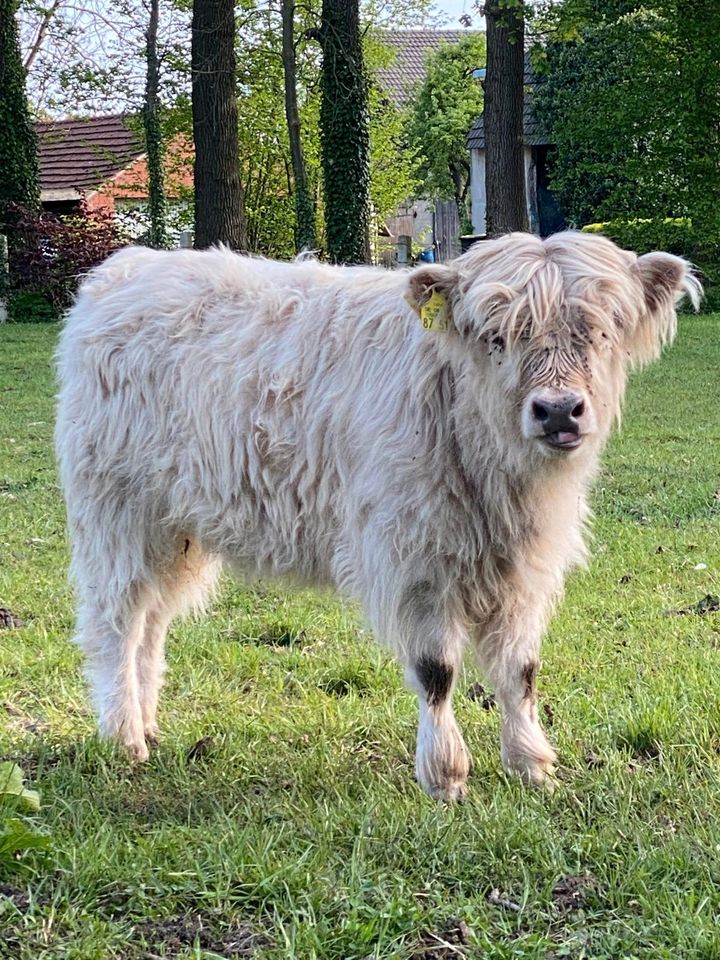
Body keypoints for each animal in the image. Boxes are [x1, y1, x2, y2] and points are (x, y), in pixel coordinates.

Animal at [54, 234, 696, 804]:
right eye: (497, 336)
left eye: (603, 330)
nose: (559, 410)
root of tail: (125, 270)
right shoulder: (415, 556)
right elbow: (437, 670)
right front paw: (446, 777)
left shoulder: (524, 569)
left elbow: (520, 671)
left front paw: (532, 766)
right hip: (117, 511)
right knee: (116, 618)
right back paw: (124, 736)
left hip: (176, 529)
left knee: (152, 619)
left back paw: (146, 722)